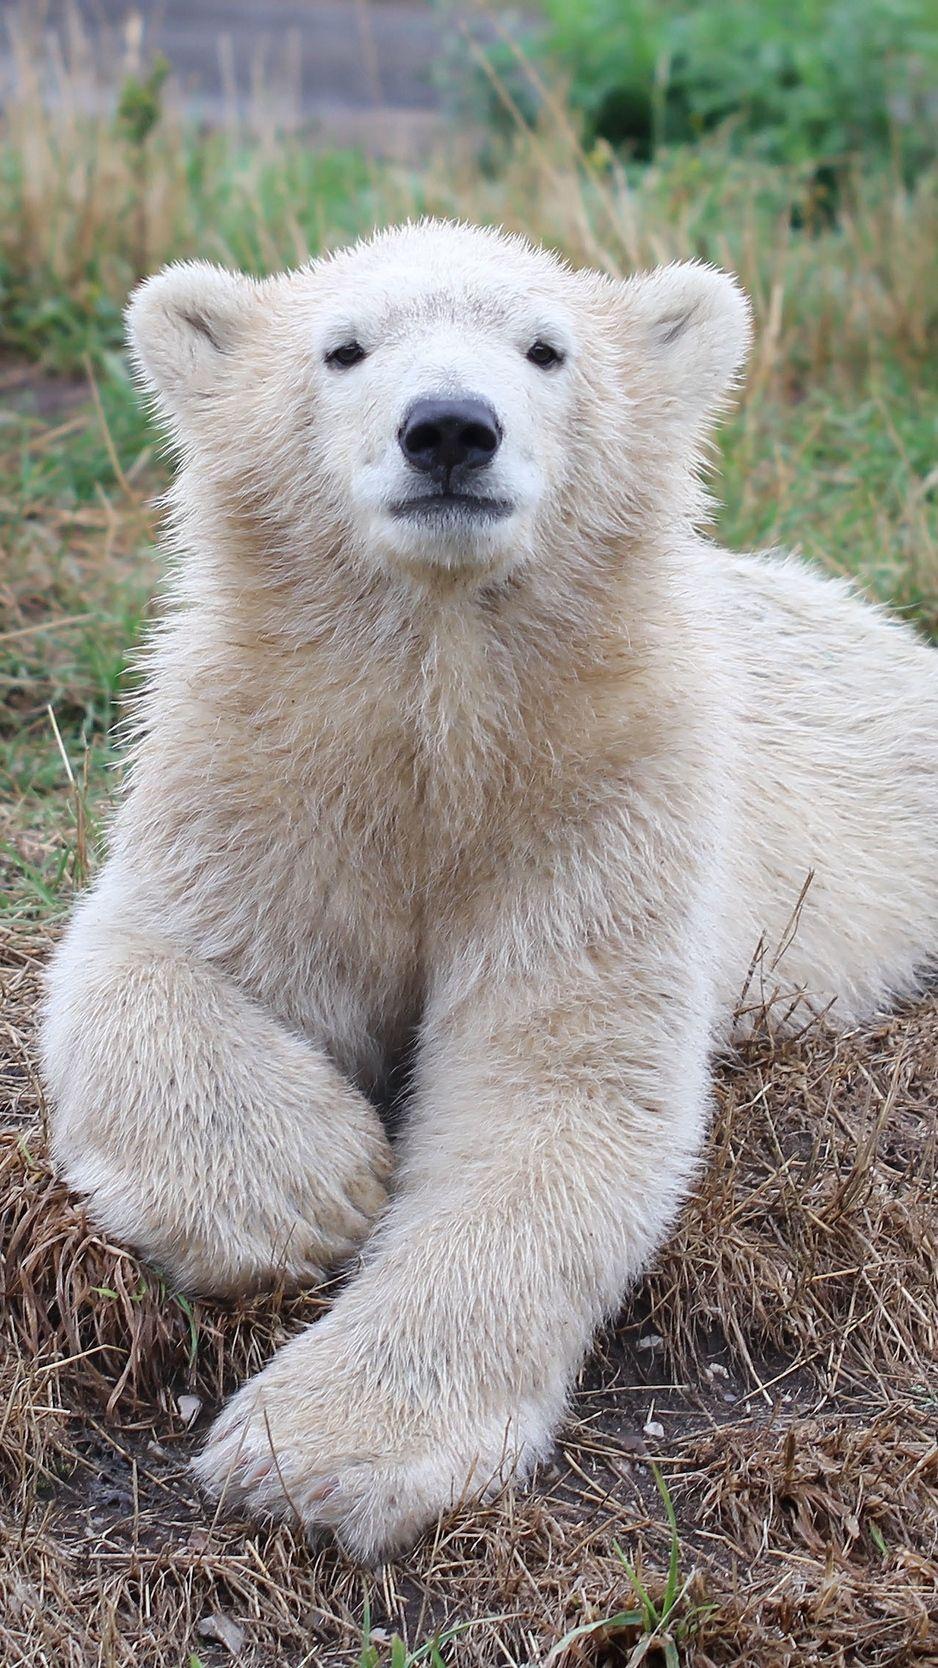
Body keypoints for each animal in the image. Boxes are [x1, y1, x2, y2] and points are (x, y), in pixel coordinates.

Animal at [40, 219, 938, 1561]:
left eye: (544, 348)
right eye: (343, 347)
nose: (450, 429)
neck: (445, 710)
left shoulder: (606, 801)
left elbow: (556, 1087)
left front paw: (321, 1450)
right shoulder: (258, 769)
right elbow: (146, 955)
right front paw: (307, 1190)